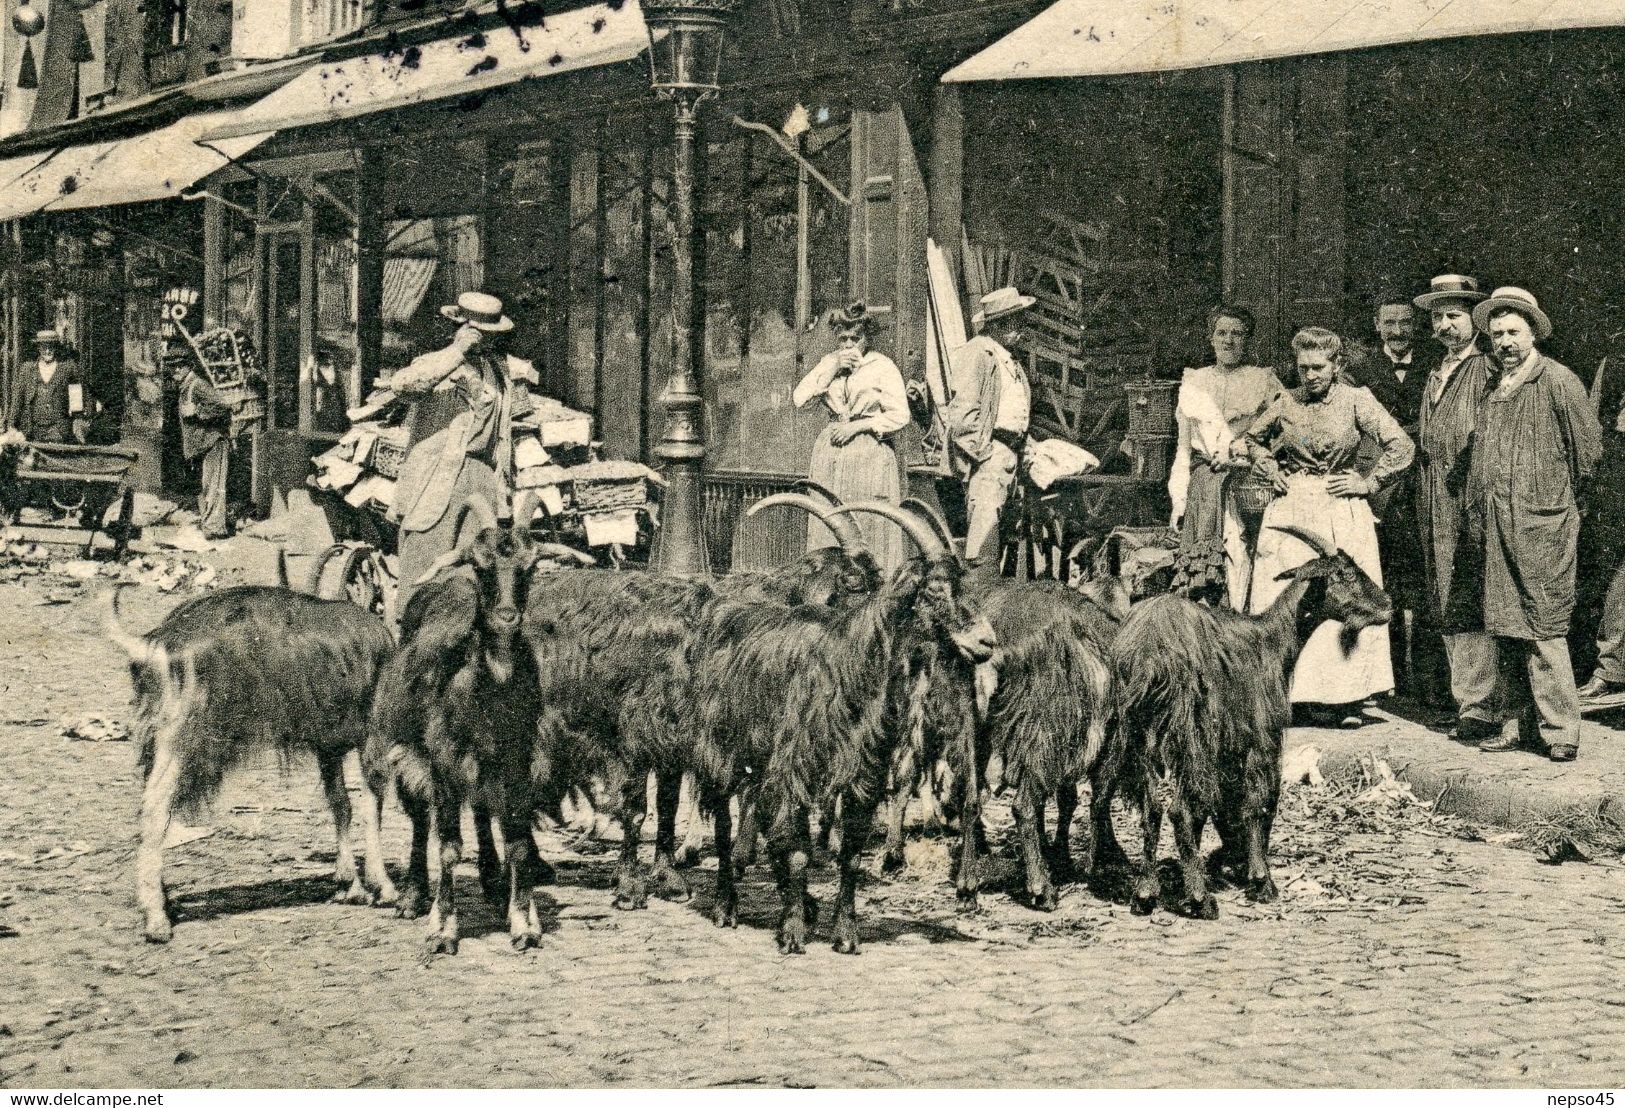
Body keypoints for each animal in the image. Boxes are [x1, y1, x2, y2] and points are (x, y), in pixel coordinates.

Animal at [107, 578, 396, 942]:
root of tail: (158, 641)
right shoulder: (373, 734)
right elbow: (373, 807)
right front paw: (382, 886)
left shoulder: (327, 746)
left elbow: (341, 804)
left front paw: (349, 884)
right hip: (185, 736)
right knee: (155, 808)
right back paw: (156, 920)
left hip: (155, 738)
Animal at [692, 500, 994, 948]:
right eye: (934, 589)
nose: (986, 641)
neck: (849, 664)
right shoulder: (794, 770)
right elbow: (797, 850)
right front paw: (793, 931)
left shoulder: (861, 773)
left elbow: (849, 854)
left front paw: (845, 932)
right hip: (723, 754)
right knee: (727, 827)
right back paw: (726, 906)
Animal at [1105, 523, 1397, 916]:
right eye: (1345, 573)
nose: (1387, 606)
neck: (1269, 640)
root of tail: (1150, 653)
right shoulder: (1262, 735)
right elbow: (1260, 801)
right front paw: (1261, 879)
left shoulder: (1230, 745)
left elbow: (1222, 808)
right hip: (1191, 734)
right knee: (1180, 808)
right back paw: (1201, 900)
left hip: (1141, 734)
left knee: (1152, 807)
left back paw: (1146, 894)